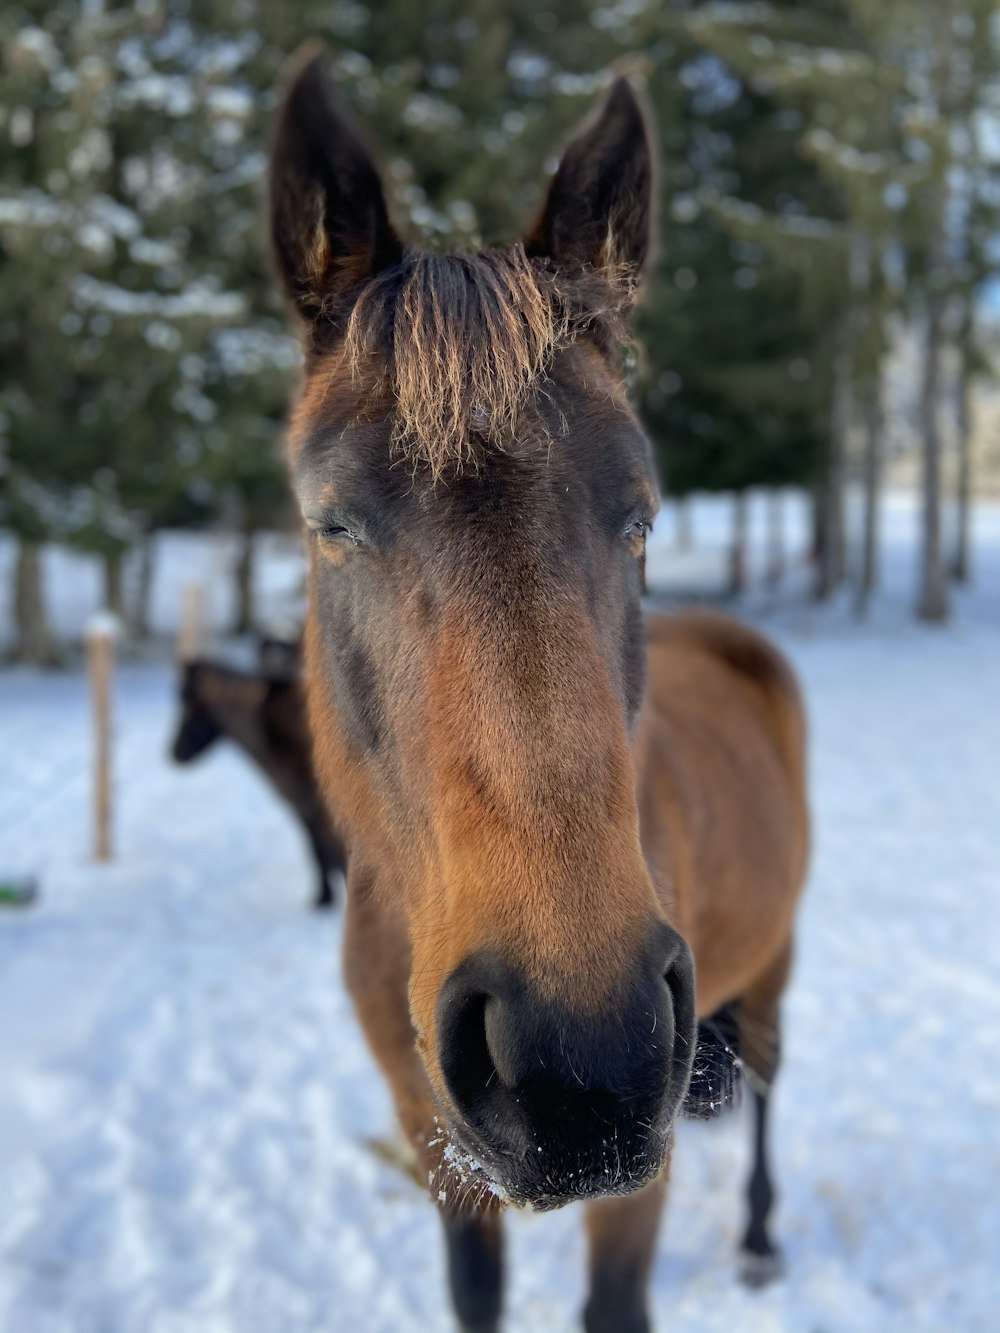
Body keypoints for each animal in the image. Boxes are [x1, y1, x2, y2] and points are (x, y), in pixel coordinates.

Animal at [270, 51, 810, 1333]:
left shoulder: (632, 1184)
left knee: (770, 1084)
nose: (581, 1059)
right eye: (331, 522)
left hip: (776, 960)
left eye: (641, 513)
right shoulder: (438, 1149)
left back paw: (760, 1235)